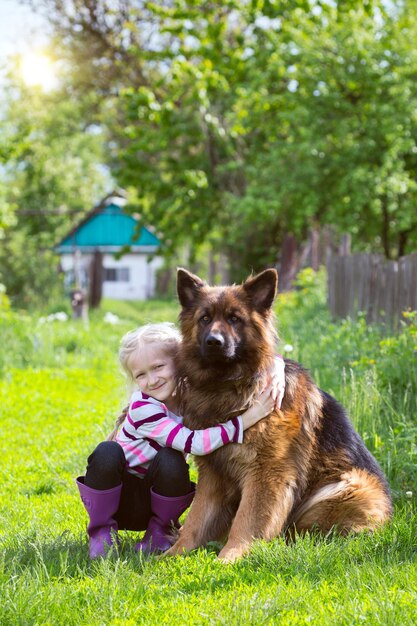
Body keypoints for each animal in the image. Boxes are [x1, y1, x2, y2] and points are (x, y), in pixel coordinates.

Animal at [164, 266, 392, 560]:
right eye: (205, 318)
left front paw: (230, 557)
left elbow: (247, 520)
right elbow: (197, 518)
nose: (214, 342)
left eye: (234, 319)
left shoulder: (267, 473)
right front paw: (173, 554)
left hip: (346, 486)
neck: (228, 386)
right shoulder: (213, 473)